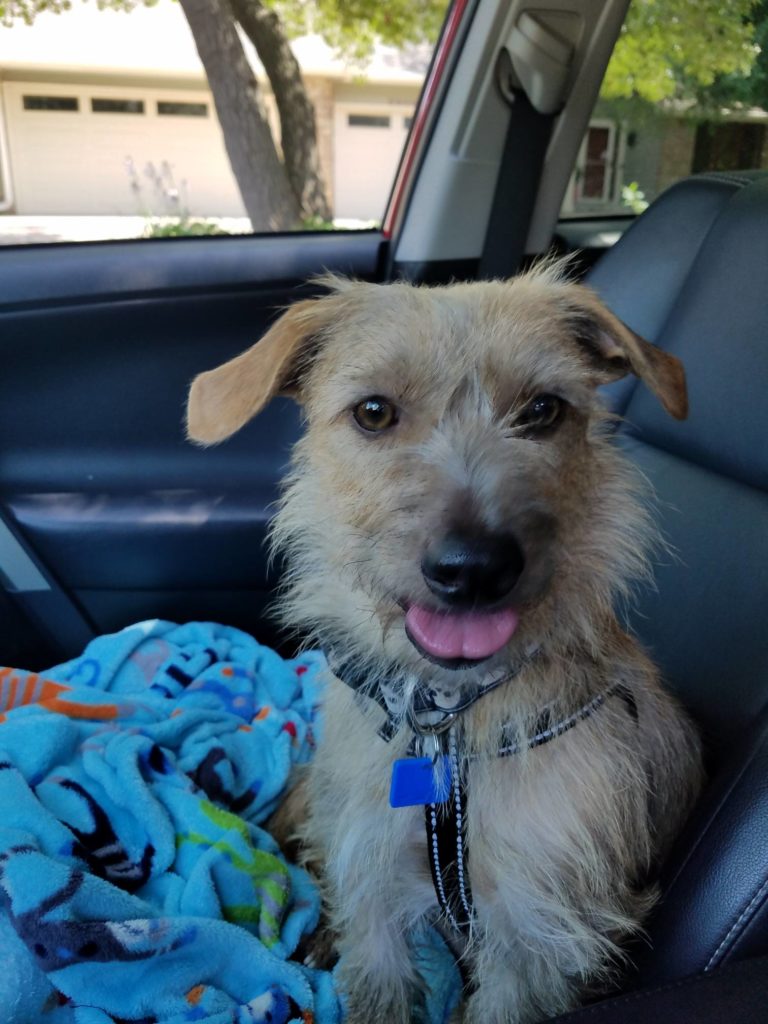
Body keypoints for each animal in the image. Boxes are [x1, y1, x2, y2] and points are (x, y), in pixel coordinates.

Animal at [185, 264, 704, 1024]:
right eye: (373, 413)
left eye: (543, 411)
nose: (474, 568)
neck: (448, 727)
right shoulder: (371, 887)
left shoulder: (534, 938)